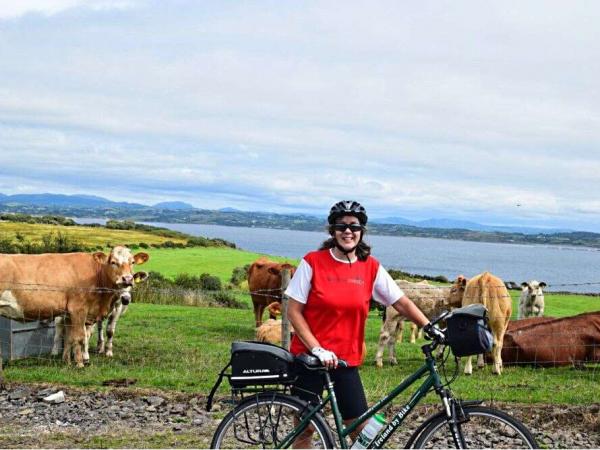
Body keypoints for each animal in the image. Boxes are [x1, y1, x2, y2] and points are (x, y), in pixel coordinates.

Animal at [0, 248, 149, 368]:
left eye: (132, 262)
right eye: (113, 262)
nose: (127, 279)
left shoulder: (69, 313)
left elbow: (69, 338)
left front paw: (66, 361)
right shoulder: (78, 309)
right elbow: (79, 337)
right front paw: (79, 363)